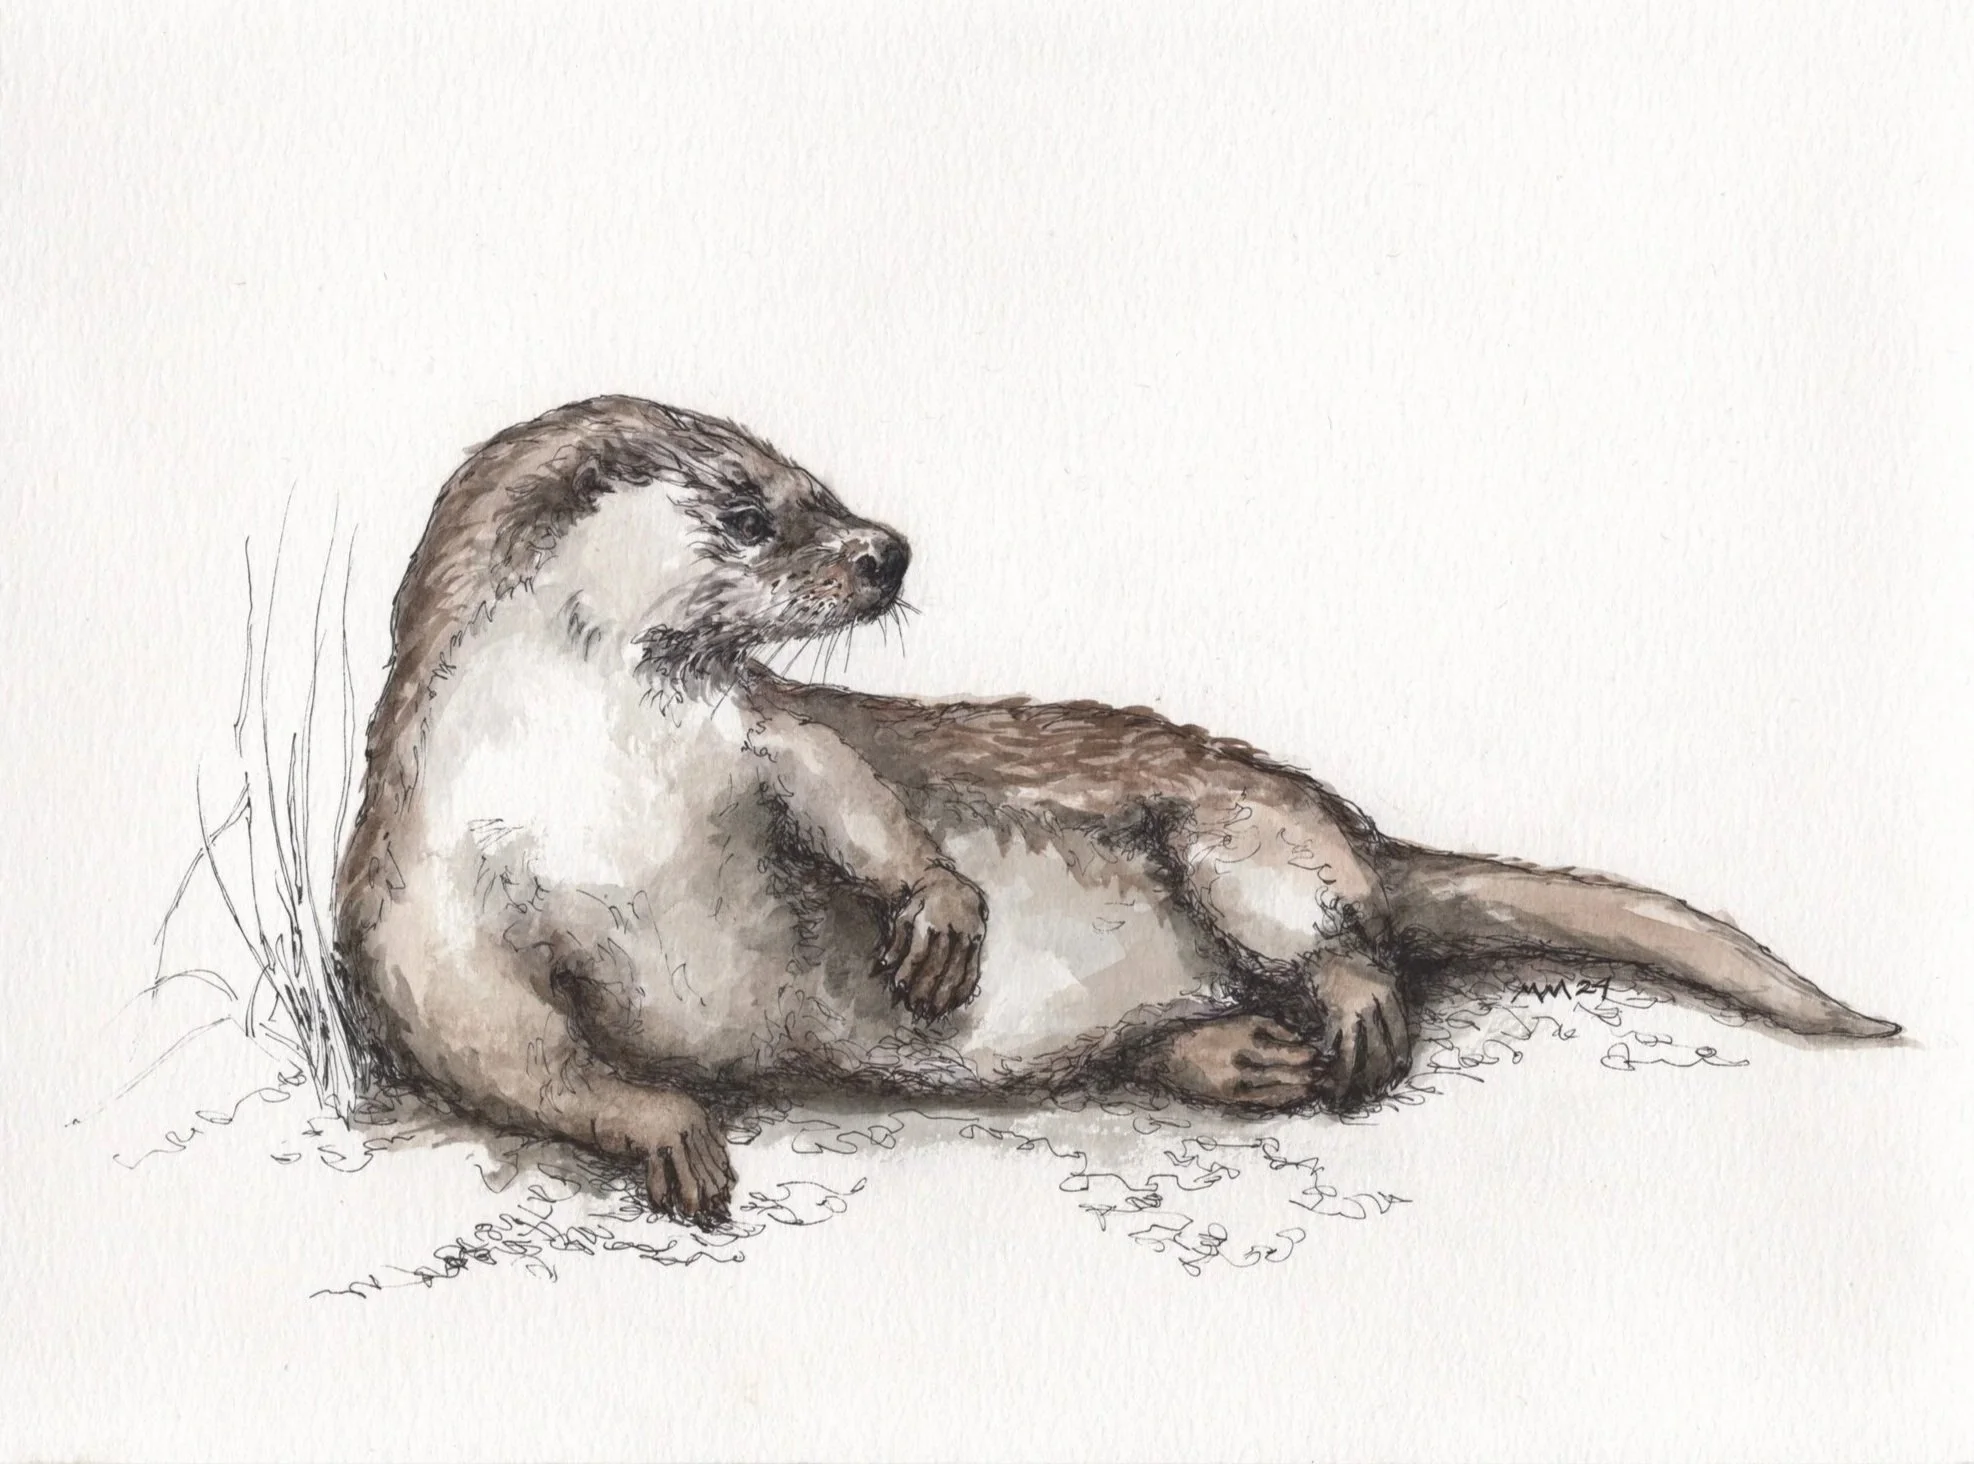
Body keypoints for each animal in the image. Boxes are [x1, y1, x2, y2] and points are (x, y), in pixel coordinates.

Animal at [334, 396, 1899, 1224]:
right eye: (751, 513)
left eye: (815, 480)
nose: (885, 550)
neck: (593, 782)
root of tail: (1358, 826)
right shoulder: (415, 898)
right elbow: (493, 1039)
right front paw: (663, 1127)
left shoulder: (755, 729)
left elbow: (853, 788)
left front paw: (937, 920)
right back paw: (1245, 1057)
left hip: (1235, 826)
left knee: (1340, 924)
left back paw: (1343, 1011)